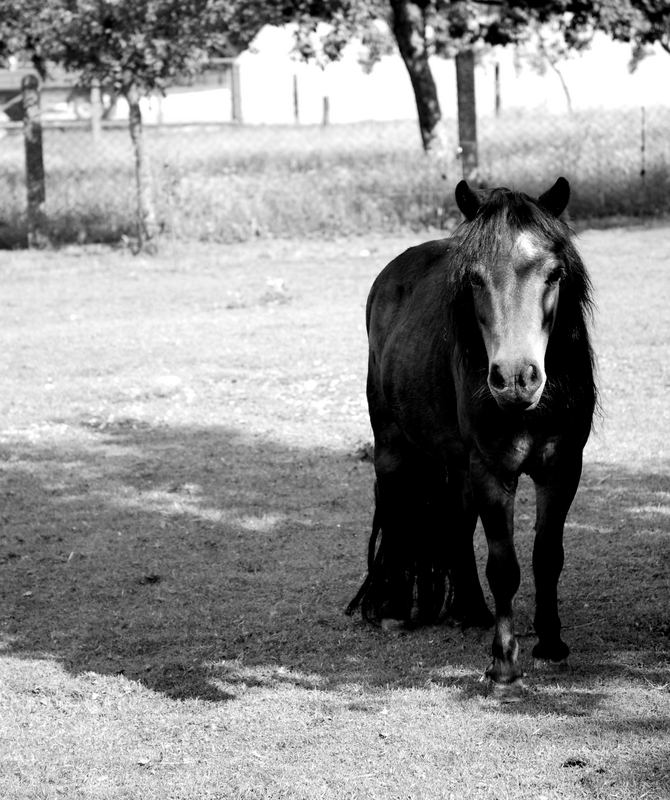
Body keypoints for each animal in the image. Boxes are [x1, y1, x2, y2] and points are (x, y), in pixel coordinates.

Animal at [346, 178, 600, 684]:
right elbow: (504, 566)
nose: (516, 377)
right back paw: (394, 610)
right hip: (393, 442)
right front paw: (504, 662)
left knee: (458, 523)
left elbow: (548, 556)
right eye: (475, 280)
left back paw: (471, 611)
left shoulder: (562, 467)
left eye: (555, 274)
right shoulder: (492, 470)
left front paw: (551, 644)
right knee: (397, 500)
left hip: (459, 462)